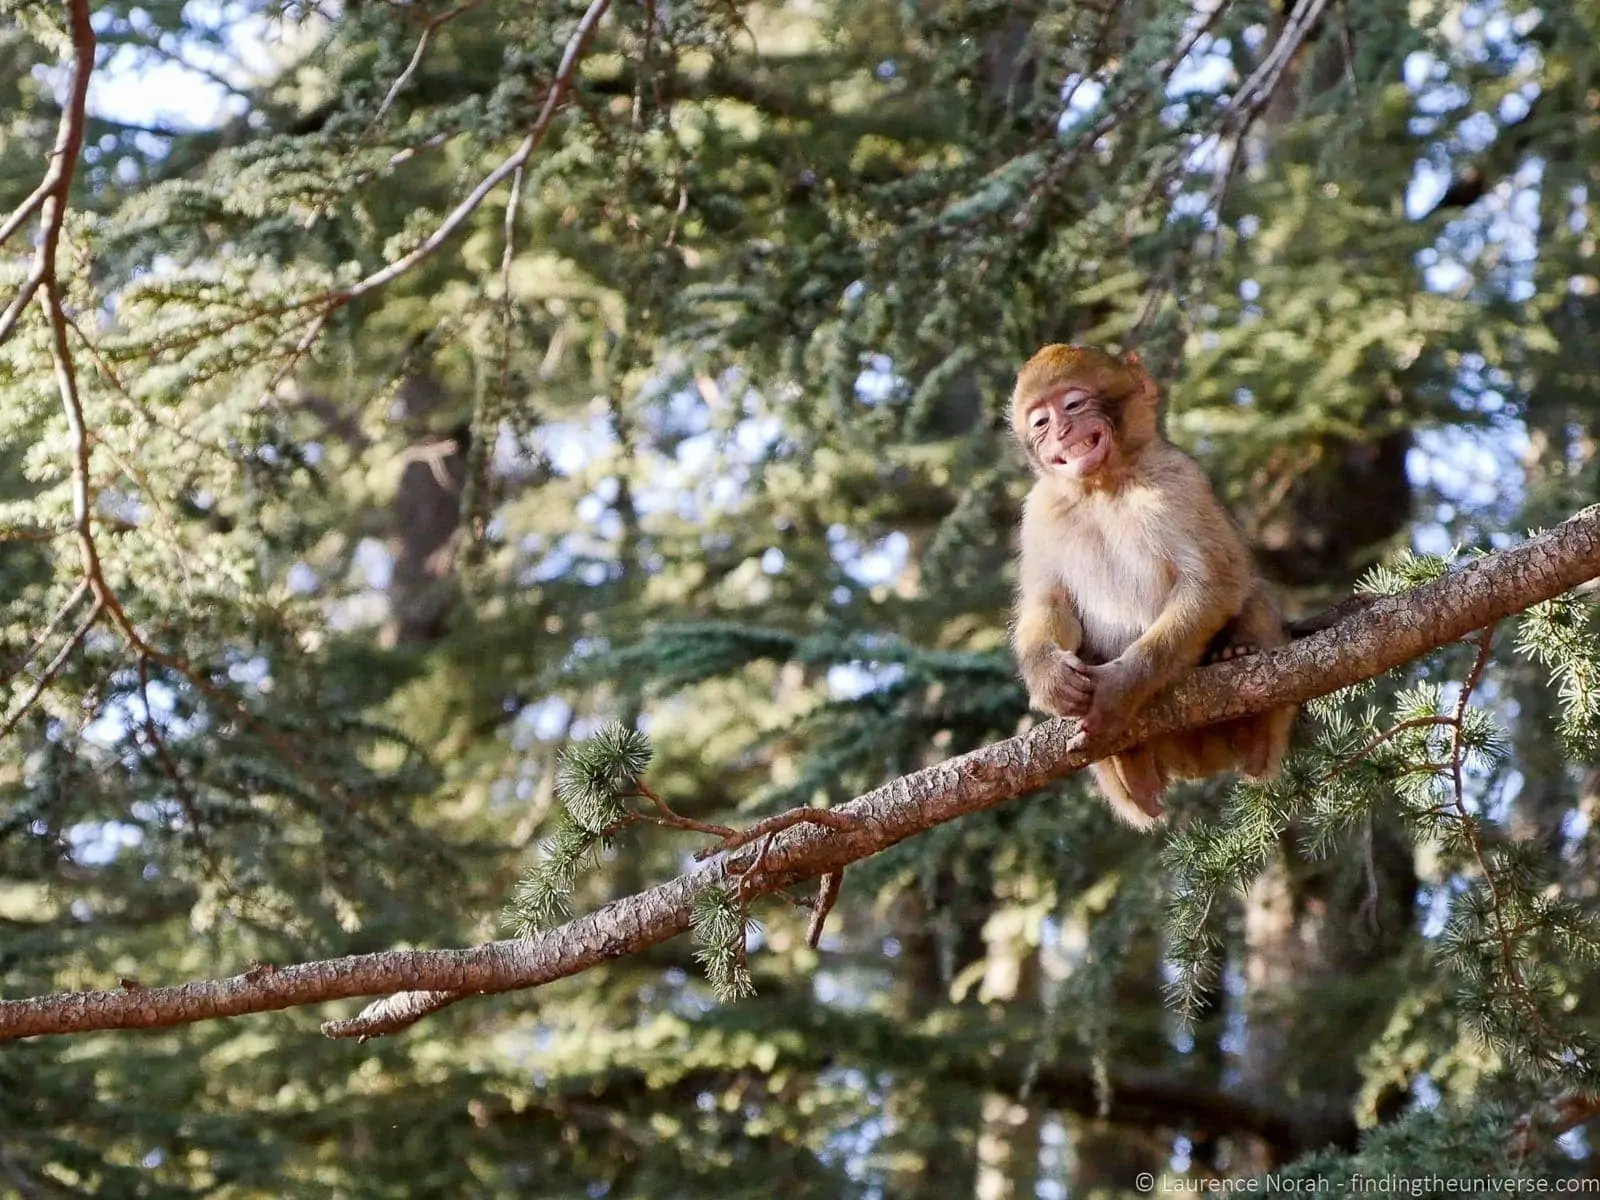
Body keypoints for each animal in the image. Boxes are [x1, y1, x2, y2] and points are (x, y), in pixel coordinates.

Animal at [1009, 344, 1296, 829]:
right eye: (1041, 422)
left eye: (1073, 404)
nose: (1062, 432)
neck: (1102, 487)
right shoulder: (1040, 511)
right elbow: (1049, 601)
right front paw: (1048, 676)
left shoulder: (1177, 479)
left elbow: (1214, 583)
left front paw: (1122, 686)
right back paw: (1133, 767)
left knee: (1253, 593)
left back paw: (1247, 705)